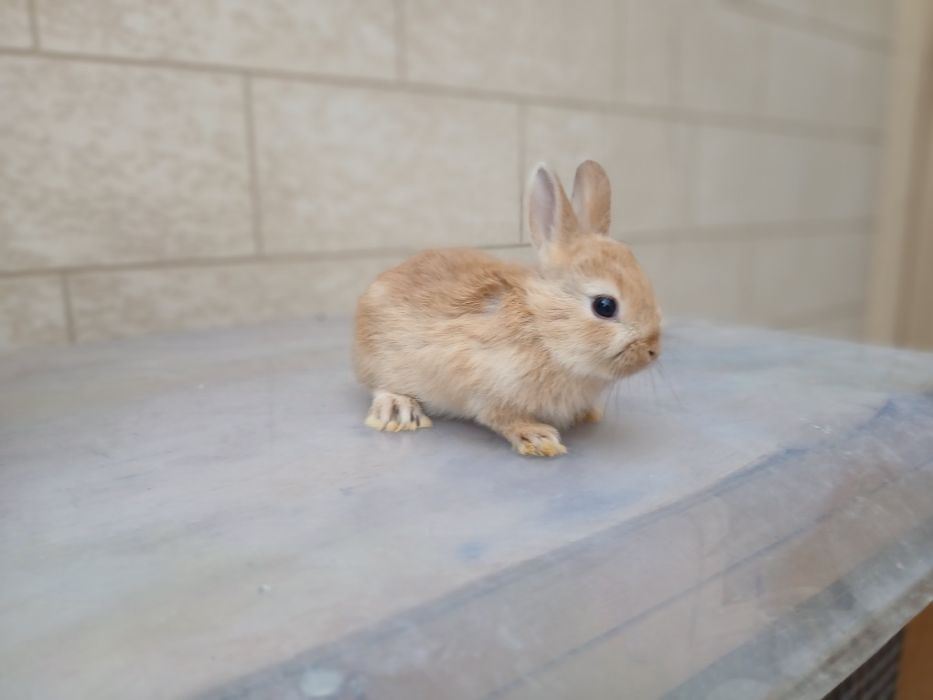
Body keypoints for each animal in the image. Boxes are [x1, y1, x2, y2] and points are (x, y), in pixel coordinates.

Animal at [353, 160, 661, 457]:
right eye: (604, 306)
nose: (652, 351)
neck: (542, 326)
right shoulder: (486, 386)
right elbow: (501, 416)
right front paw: (539, 439)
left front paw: (586, 414)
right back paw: (398, 410)